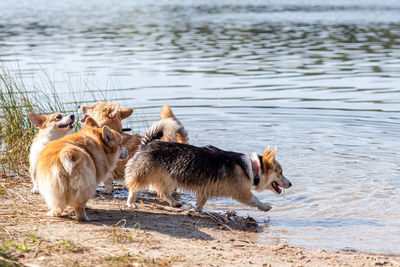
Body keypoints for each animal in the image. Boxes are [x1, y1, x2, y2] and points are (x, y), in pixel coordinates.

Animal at [125, 120, 290, 213]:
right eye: (281, 172)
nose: (291, 184)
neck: (252, 168)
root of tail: (148, 143)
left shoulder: (204, 190)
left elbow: (200, 203)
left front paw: (196, 211)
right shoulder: (241, 192)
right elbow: (255, 199)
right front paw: (265, 206)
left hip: (167, 178)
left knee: (164, 192)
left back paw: (175, 203)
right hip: (143, 174)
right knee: (134, 187)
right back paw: (131, 203)